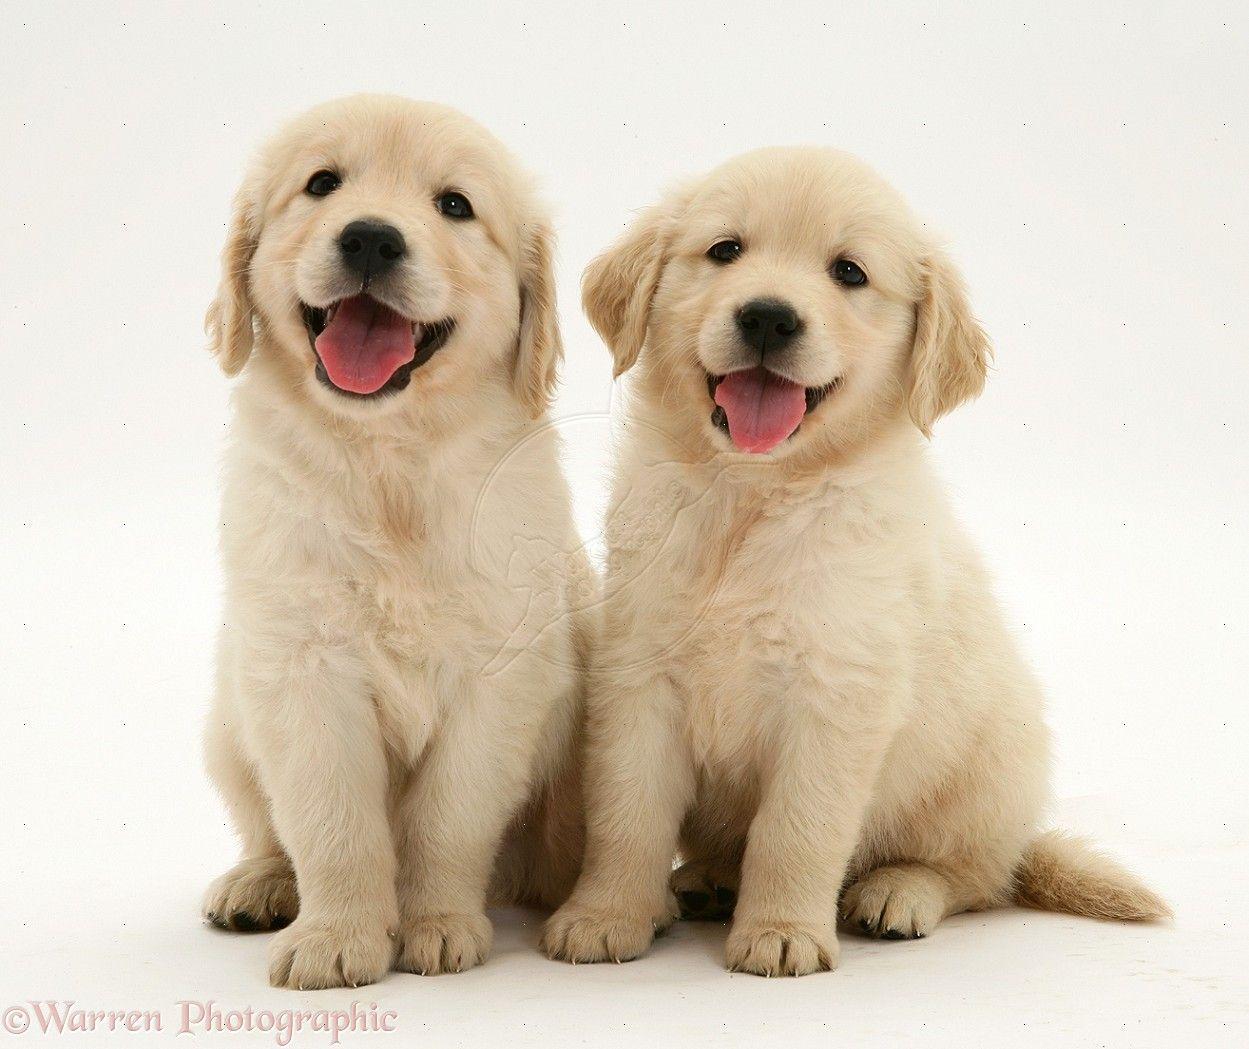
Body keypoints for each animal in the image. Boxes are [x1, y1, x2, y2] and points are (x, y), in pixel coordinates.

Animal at [201, 94, 589, 989]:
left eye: (454, 205)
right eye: (321, 184)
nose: (371, 238)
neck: (389, 464)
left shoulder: (499, 681)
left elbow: (448, 817)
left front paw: (437, 923)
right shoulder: (300, 670)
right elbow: (329, 819)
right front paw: (336, 934)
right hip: (226, 719)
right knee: (265, 823)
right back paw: (257, 884)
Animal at [542, 145, 1164, 974]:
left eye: (848, 272)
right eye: (725, 250)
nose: (767, 315)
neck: (753, 495)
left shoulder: (837, 694)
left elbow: (795, 830)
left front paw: (780, 931)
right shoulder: (638, 675)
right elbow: (627, 813)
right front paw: (605, 913)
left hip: (990, 769)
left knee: (975, 875)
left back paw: (897, 891)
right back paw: (708, 878)